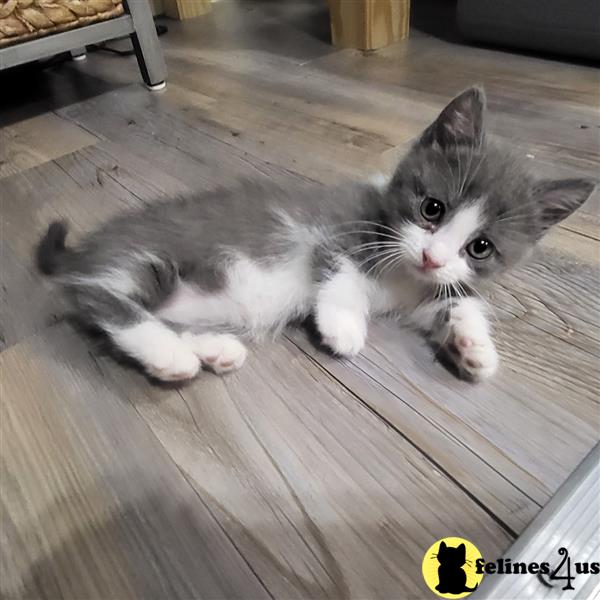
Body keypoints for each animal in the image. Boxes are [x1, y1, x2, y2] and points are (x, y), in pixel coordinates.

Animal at [37, 86, 596, 382]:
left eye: (480, 247)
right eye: (432, 208)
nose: (433, 257)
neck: (399, 266)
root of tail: (87, 249)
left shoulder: (420, 294)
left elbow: (457, 301)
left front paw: (474, 347)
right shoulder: (332, 228)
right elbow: (340, 272)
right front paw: (343, 327)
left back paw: (210, 349)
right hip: (145, 257)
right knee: (98, 298)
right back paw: (169, 355)